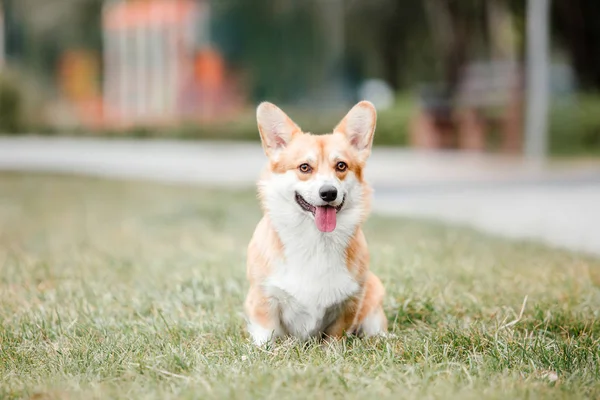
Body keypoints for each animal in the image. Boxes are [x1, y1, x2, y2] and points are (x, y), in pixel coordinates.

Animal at [245, 101, 390, 346]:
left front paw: (332, 350)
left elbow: (335, 337)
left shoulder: (349, 302)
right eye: (304, 167)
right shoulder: (265, 297)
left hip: (374, 297)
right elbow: (267, 335)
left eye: (341, 166)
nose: (329, 193)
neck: (315, 239)